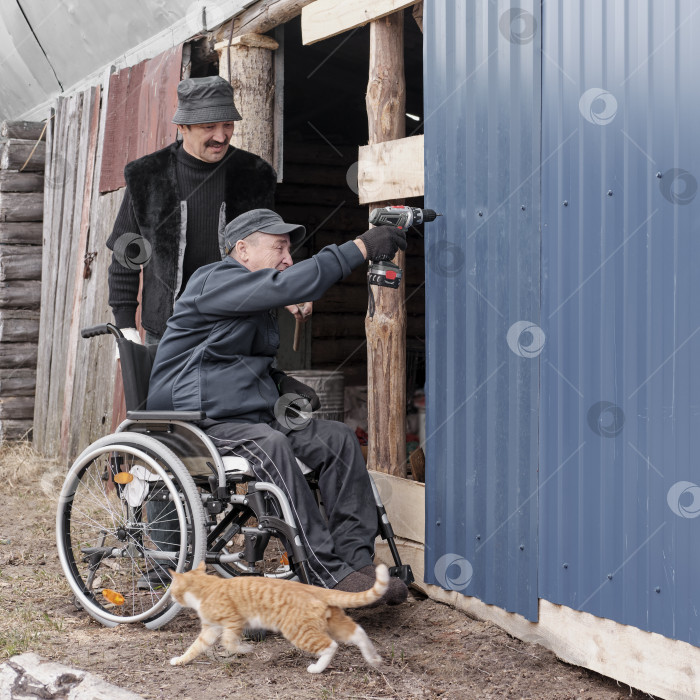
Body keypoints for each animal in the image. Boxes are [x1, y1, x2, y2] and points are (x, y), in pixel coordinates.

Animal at [167, 564, 392, 672]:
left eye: (172, 588)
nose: (170, 596)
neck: (207, 587)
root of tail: (314, 588)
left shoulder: (233, 621)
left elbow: (229, 642)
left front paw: (245, 649)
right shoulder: (210, 629)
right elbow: (195, 647)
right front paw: (180, 660)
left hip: (298, 632)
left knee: (331, 646)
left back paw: (317, 669)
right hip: (335, 623)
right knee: (358, 632)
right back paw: (373, 658)